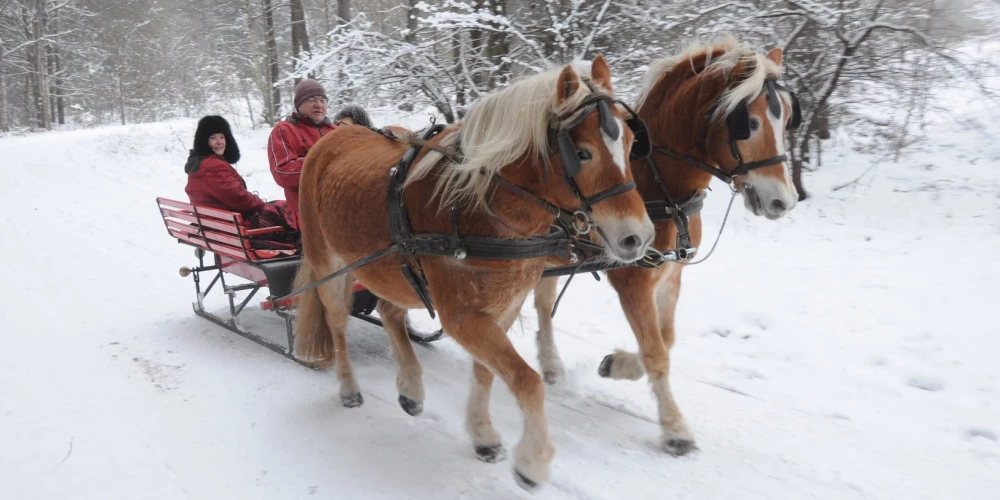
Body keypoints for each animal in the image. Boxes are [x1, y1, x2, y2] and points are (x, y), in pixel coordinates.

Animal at [294, 54, 656, 488]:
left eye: (632, 144)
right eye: (583, 154)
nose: (639, 237)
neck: (481, 206)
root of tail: (333, 136)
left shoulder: (504, 308)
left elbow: (487, 372)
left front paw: (483, 435)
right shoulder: (462, 316)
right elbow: (526, 380)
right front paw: (533, 461)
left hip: (390, 267)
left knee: (390, 312)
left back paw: (411, 387)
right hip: (329, 261)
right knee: (337, 323)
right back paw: (348, 387)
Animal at [532, 37, 804, 456]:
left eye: (788, 116)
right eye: (751, 122)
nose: (784, 201)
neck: (659, 188)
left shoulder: (671, 276)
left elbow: (666, 341)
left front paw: (616, 364)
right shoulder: (632, 282)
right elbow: (656, 352)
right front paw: (675, 428)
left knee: (544, 303)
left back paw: (549, 364)